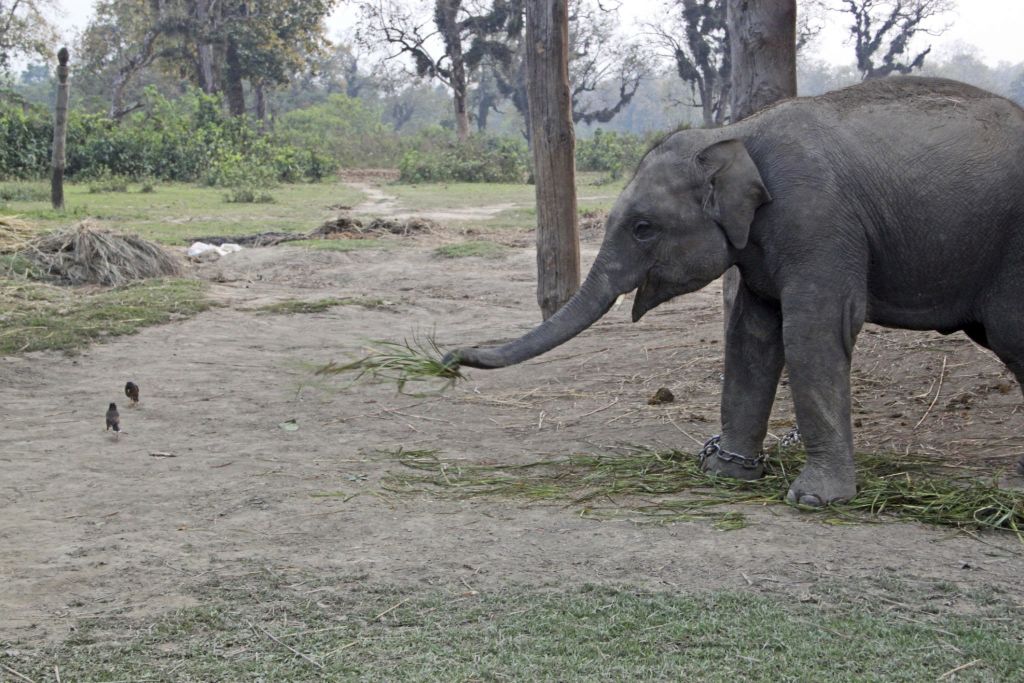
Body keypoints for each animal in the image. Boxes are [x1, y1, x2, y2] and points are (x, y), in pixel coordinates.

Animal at [446, 77, 1024, 507]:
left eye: (642, 228)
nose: (450, 358)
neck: (733, 132)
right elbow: (752, 335)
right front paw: (725, 473)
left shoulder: (817, 220)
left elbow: (813, 330)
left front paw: (814, 500)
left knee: (1012, 336)